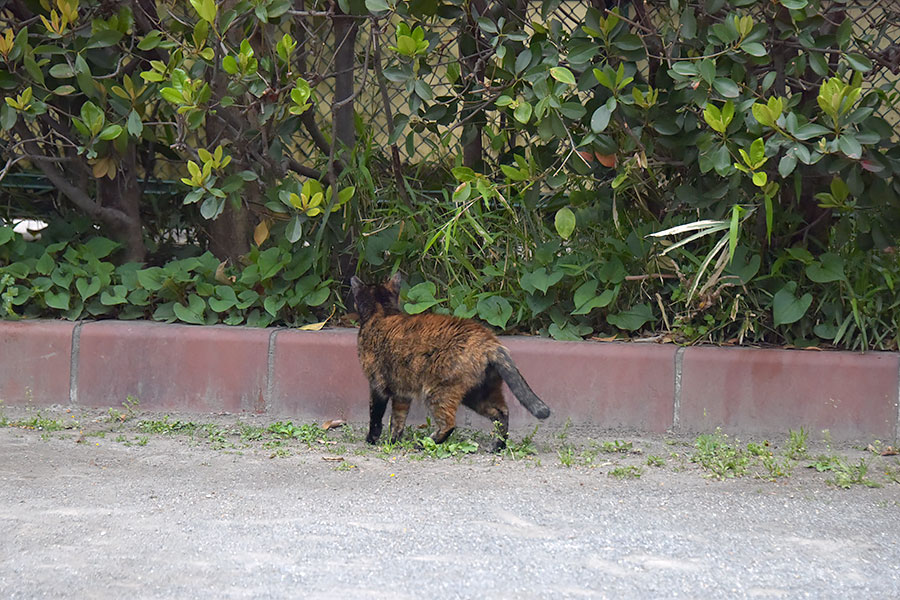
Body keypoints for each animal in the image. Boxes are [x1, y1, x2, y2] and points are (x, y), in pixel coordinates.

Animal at [350, 274, 548, 450]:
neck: (382, 313)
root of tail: (489, 342)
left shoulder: (377, 385)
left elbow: (376, 416)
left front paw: (372, 439)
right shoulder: (401, 392)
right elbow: (398, 420)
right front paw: (393, 441)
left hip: (438, 392)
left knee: (449, 424)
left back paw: (423, 444)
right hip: (478, 394)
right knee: (501, 413)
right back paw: (497, 446)